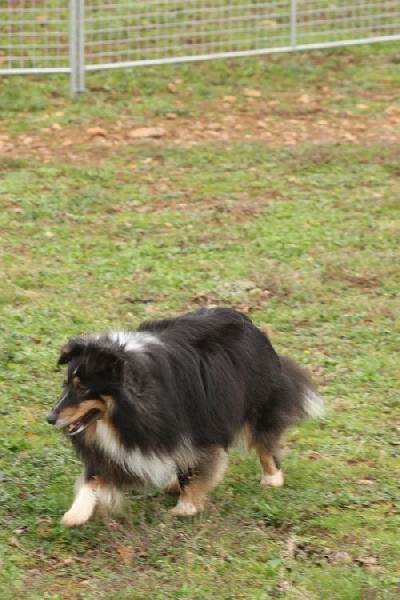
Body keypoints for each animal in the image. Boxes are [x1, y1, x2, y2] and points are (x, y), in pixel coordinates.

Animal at [46, 310, 322, 524]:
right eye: (66, 385)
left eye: (83, 389)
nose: (50, 418)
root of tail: (253, 326)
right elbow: (96, 476)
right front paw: (74, 515)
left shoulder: (188, 425)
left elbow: (193, 464)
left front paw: (185, 508)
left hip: (257, 398)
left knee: (263, 436)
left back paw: (272, 478)